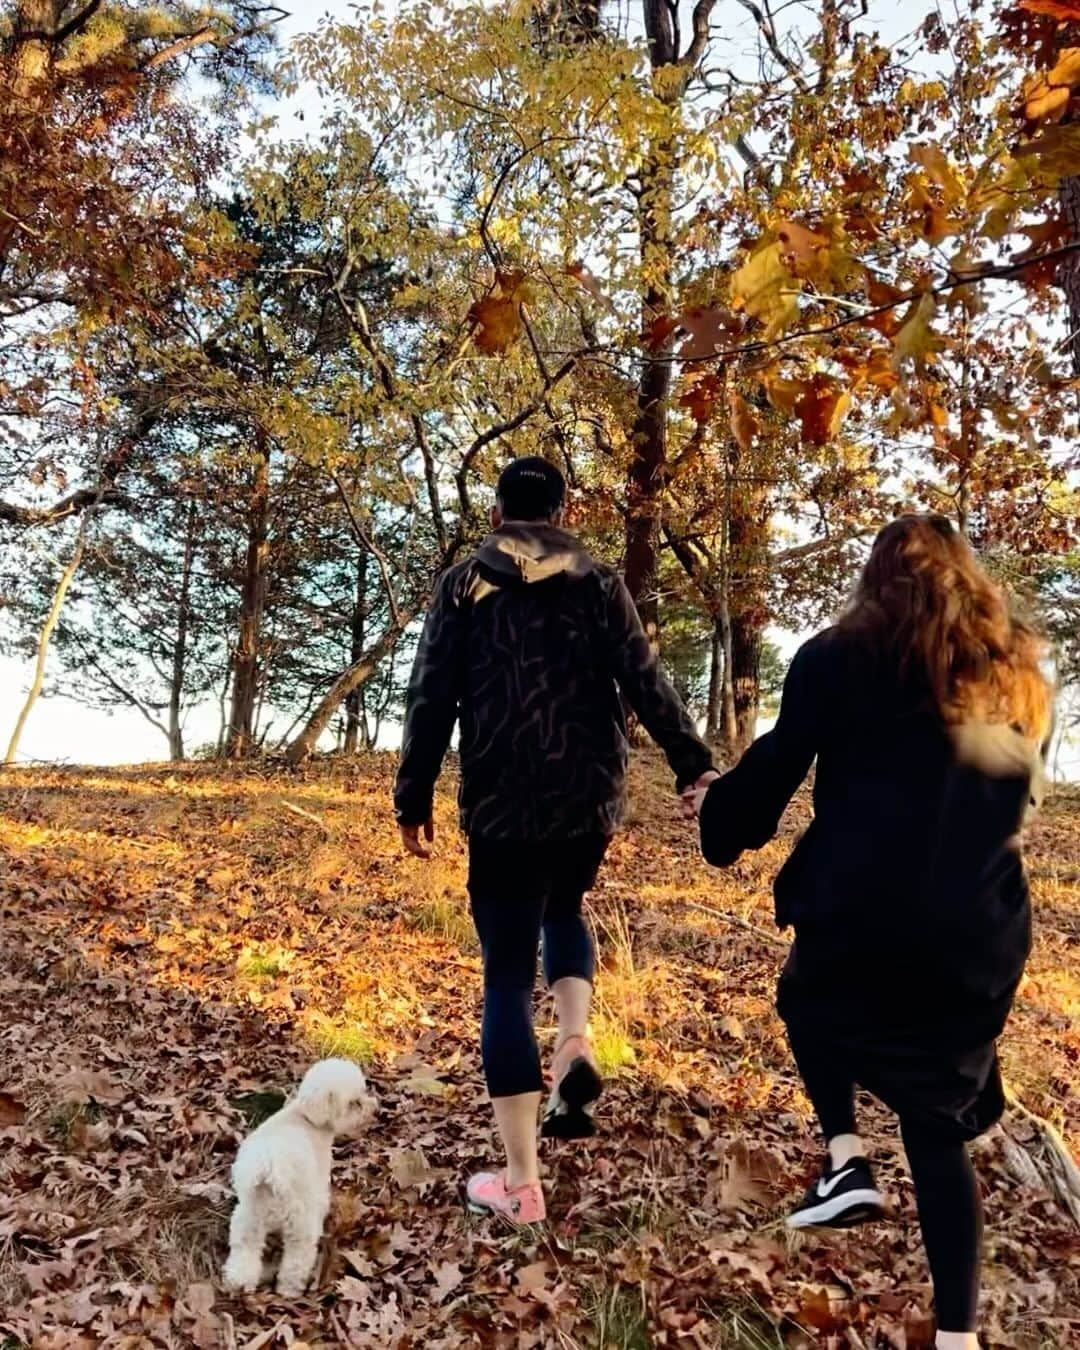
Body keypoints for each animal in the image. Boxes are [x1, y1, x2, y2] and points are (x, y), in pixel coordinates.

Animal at [221, 1053, 372, 1296]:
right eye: (354, 1103)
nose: (373, 1107)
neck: (304, 1116)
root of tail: (270, 1167)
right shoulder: (319, 1178)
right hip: (299, 1223)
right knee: (296, 1260)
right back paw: (289, 1291)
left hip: (249, 1219)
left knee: (245, 1253)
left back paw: (238, 1283)